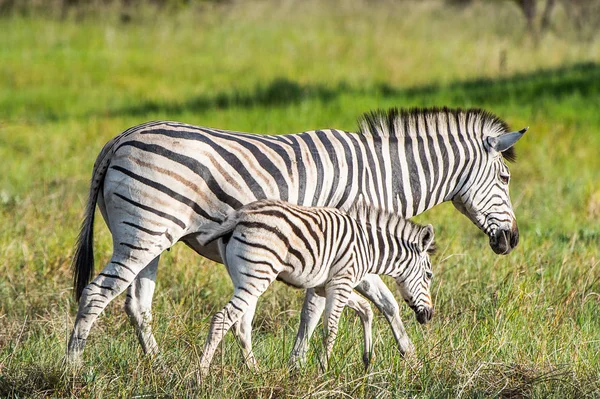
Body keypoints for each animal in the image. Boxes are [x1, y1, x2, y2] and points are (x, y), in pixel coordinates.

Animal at [197, 202, 436, 376]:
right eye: (429, 275)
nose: (429, 316)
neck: (369, 247)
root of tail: (239, 216)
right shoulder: (341, 282)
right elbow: (331, 328)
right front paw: (323, 370)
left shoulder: (327, 285)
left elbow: (365, 308)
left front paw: (367, 359)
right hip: (256, 277)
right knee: (222, 319)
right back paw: (201, 377)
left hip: (246, 280)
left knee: (241, 326)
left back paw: (256, 373)